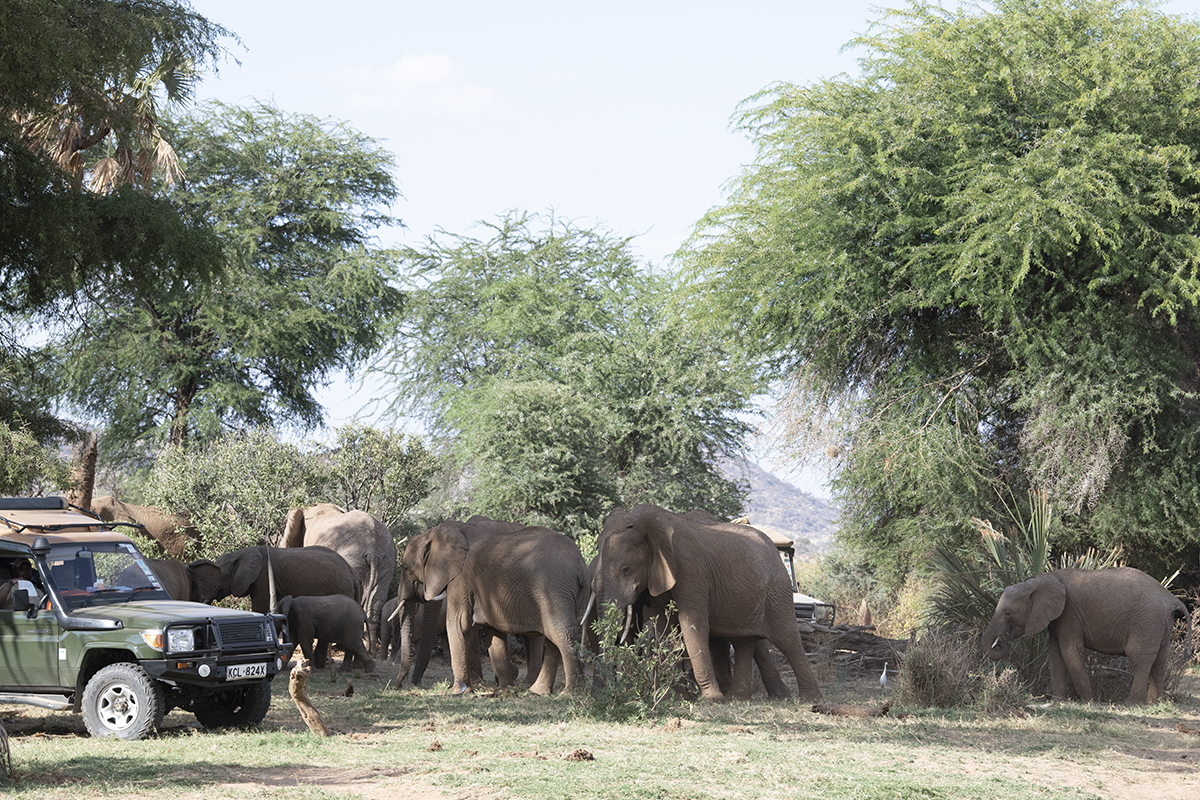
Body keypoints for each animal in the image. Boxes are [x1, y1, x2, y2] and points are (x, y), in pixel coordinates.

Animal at [189, 544, 357, 618]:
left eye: (217, 580)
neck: (240, 553)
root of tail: (351, 571)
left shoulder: (263, 577)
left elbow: (259, 606)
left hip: (341, 586)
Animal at [396, 520, 588, 695]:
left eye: (405, 568)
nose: (399, 686)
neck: (435, 533)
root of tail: (580, 565)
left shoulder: (461, 579)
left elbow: (457, 624)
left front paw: (458, 692)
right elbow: (493, 633)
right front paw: (504, 691)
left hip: (555, 590)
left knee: (561, 634)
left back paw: (571, 693)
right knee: (554, 639)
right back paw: (538, 692)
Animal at [590, 503, 825, 705]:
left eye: (626, 570)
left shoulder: (690, 568)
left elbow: (693, 624)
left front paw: (710, 700)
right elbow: (662, 627)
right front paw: (676, 698)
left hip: (776, 591)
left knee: (787, 639)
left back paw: (811, 699)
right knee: (744, 641)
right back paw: (739, 698)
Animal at [984, 566, 1190, 705]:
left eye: (1007, 613)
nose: (999, 643)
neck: (1040, 580)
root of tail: (1172, 598)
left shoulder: (1069, 614)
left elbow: (1070, 651)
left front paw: (1088, 702)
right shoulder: (1057, 619)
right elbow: (1056, 654)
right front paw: (1057, 700)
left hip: (1146, 622)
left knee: (1139, 658)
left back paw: (1131, 704)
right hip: (1160, 624)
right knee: (1160, 660)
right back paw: (1153, 703)